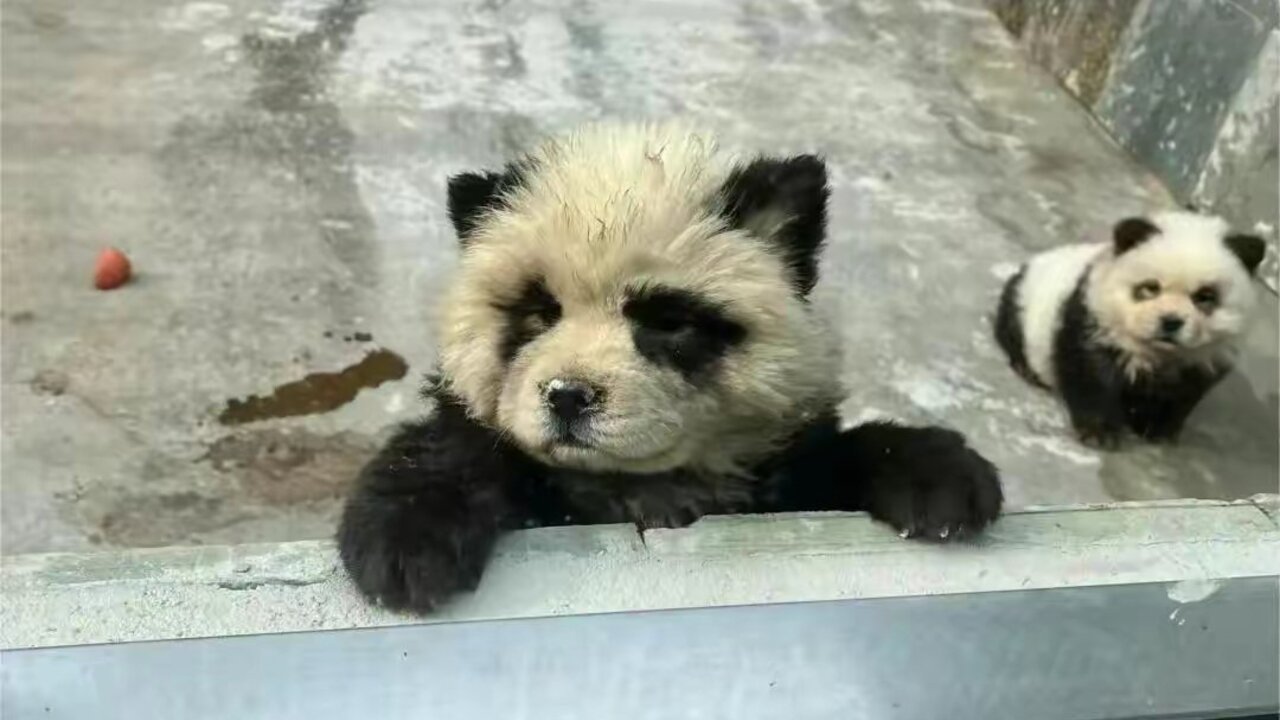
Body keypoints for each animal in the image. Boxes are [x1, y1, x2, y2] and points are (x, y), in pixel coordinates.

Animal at [339, 123, 1003, 612]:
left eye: (666, 321)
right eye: (539, 313)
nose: (567, 396)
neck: (633, 484)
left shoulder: (781, 469)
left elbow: (840, 458)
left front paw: (943, 482)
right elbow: (453, 444)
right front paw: (404, 544)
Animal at [994, 210, 1266, 448]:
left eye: (1205, 296)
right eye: (1150, 288)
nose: (1170, 321)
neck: (1158, 353)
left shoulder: (1206, 356)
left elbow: (1185, 394)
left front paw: (1158, 432)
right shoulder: (1094, 318)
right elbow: (1091, 374)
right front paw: (1099, 434)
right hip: (1026, 301)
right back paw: (1025, 368)